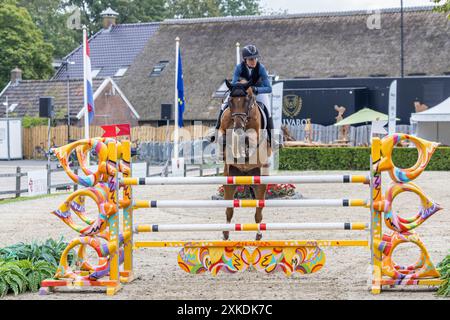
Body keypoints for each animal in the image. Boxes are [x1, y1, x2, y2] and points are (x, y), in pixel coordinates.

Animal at [217, 80, 270, 240]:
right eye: (230, 101)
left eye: (246, 101)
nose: (238, 126)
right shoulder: (225, 129)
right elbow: (225, 137)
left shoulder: (256, 134)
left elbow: (249, 139)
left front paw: (244, 149)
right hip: (230, 181)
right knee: (229, 210)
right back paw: (226, 233)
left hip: (260, 182)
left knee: (258, 212)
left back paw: (258, 234)